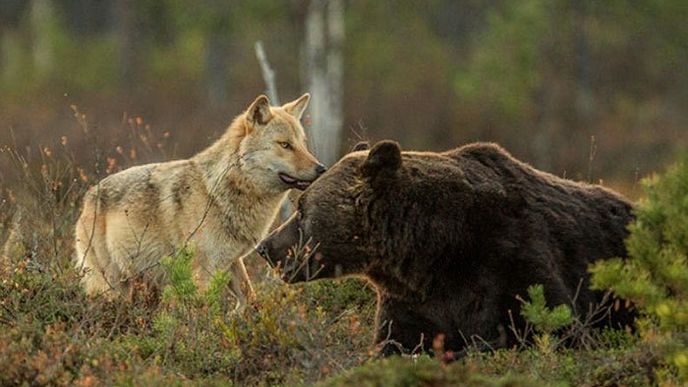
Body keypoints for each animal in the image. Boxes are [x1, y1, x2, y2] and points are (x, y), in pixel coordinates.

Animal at [74, 94, 326, 306]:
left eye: (302, 144)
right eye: (285, 145)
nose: (321, 169)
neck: (218, 193)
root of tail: (87, 197)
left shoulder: (232, 261)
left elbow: (249, 298)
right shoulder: (202, 271)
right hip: (110, 285)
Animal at [256, 140, 636, 358]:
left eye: (302, 208)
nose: (265, 247)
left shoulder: (510, 256)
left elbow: (554, 329)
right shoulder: (414, 301)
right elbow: (396, 345)